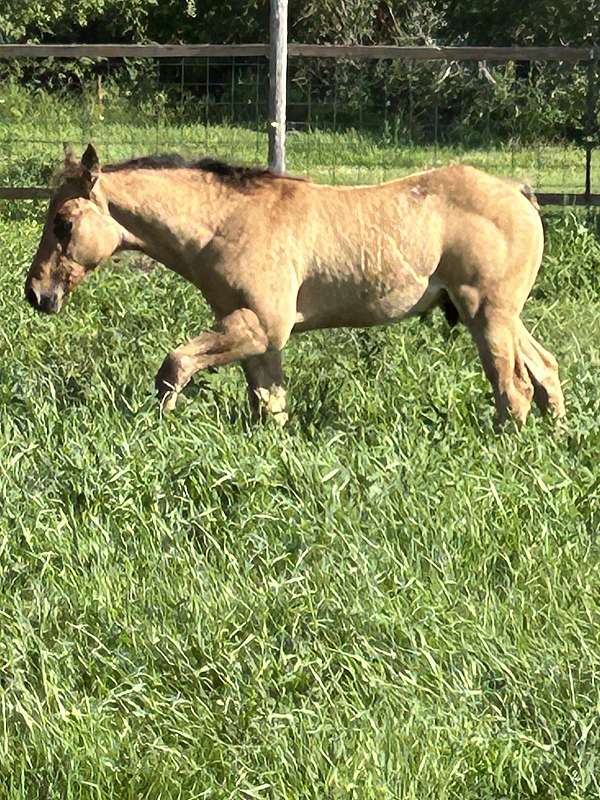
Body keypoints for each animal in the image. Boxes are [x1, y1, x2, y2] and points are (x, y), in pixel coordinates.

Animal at [25, 144, 565, 427]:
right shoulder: (257, 340)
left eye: (63, 223)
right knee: (545, 371)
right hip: (502, 317)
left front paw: (161, 423)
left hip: (488, 317)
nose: (36, 292)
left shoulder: (260, 327)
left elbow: (174, 366)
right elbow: (270, 407)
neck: (227, 223)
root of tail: (517, 191)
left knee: (513, 388)